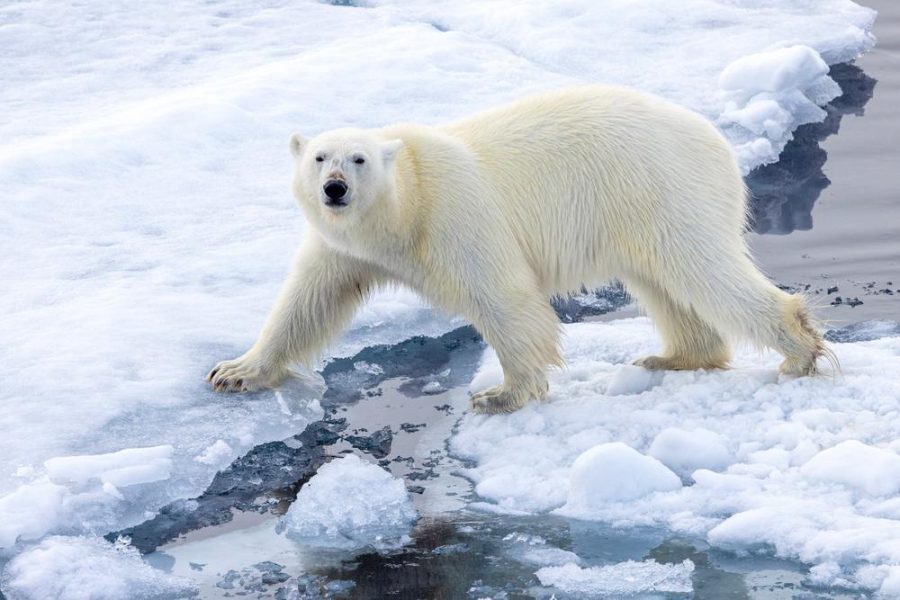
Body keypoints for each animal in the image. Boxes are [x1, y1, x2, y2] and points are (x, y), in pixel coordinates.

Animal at [208, 85, 828, 414]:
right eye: (319, 157)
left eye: (357, 159)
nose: (334, 188)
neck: (402, 210)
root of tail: (717, 138)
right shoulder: (342, 246)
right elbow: (307, 301)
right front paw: (234, 371)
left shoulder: (454, 217)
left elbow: (502, 296)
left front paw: (502, 394)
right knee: (664, 282)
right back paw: (672, 356)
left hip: (662, 188)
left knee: (703, 269)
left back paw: (797, 352)